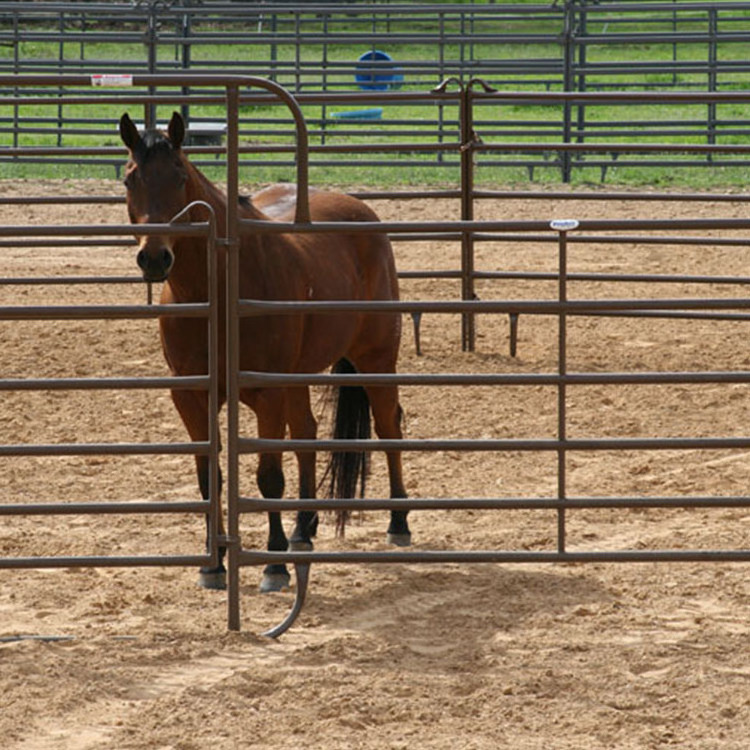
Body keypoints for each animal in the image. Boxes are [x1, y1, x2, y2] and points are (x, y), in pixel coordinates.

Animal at [120, 111, 412, 592]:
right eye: (130, 179)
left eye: (179, 176)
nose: (155, 258)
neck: (220, 287)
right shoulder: (191, 396)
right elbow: (210, 478)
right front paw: (213, 565)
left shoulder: (266, 394)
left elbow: (269, 477)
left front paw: (274, 567)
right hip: (299, 377)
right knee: (308, 433)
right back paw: (303, 529)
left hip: (375, 360)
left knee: (389, 427)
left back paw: (398, 523)